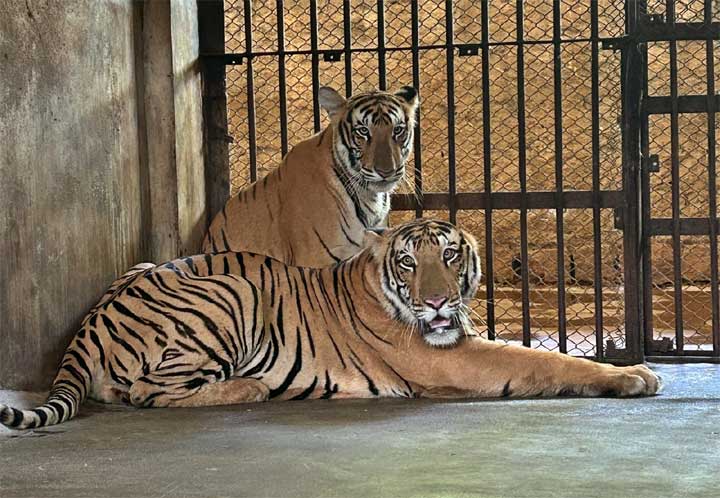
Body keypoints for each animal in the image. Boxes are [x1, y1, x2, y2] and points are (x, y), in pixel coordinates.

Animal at [0, 218, 660, 430]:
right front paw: (636, 375)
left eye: (450, 256)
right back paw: (252, 386)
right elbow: (542, 358)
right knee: (145, 392)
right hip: (234, 292)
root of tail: (88, 322)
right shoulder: (450, 357)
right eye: (409, 261)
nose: (438, 304)